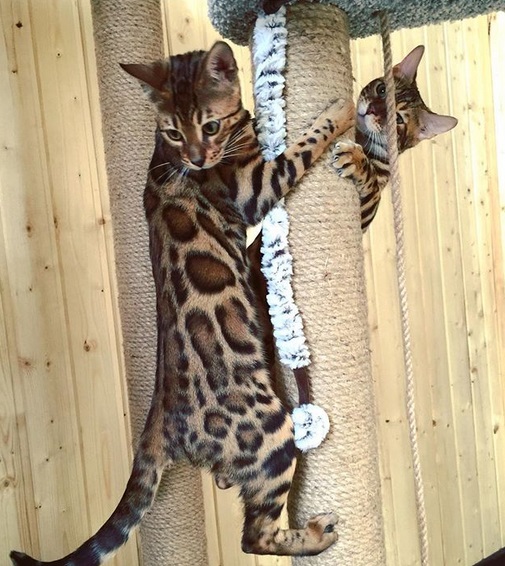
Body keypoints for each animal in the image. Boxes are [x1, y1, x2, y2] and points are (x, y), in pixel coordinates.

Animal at [9, 41, 352, 566]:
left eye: (206, 127)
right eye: (175, 131)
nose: (195, 158)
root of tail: (159, 415)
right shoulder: (253, 187)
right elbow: (302, 147)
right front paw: (342, 110)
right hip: (271, 431)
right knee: (255, 534)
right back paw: (315, 536)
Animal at [330, 44, 456, 231]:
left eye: (398, 119)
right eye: (382, 90)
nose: (371, 110)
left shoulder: (364, 216)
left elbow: (373, 185)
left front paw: (354, 158)